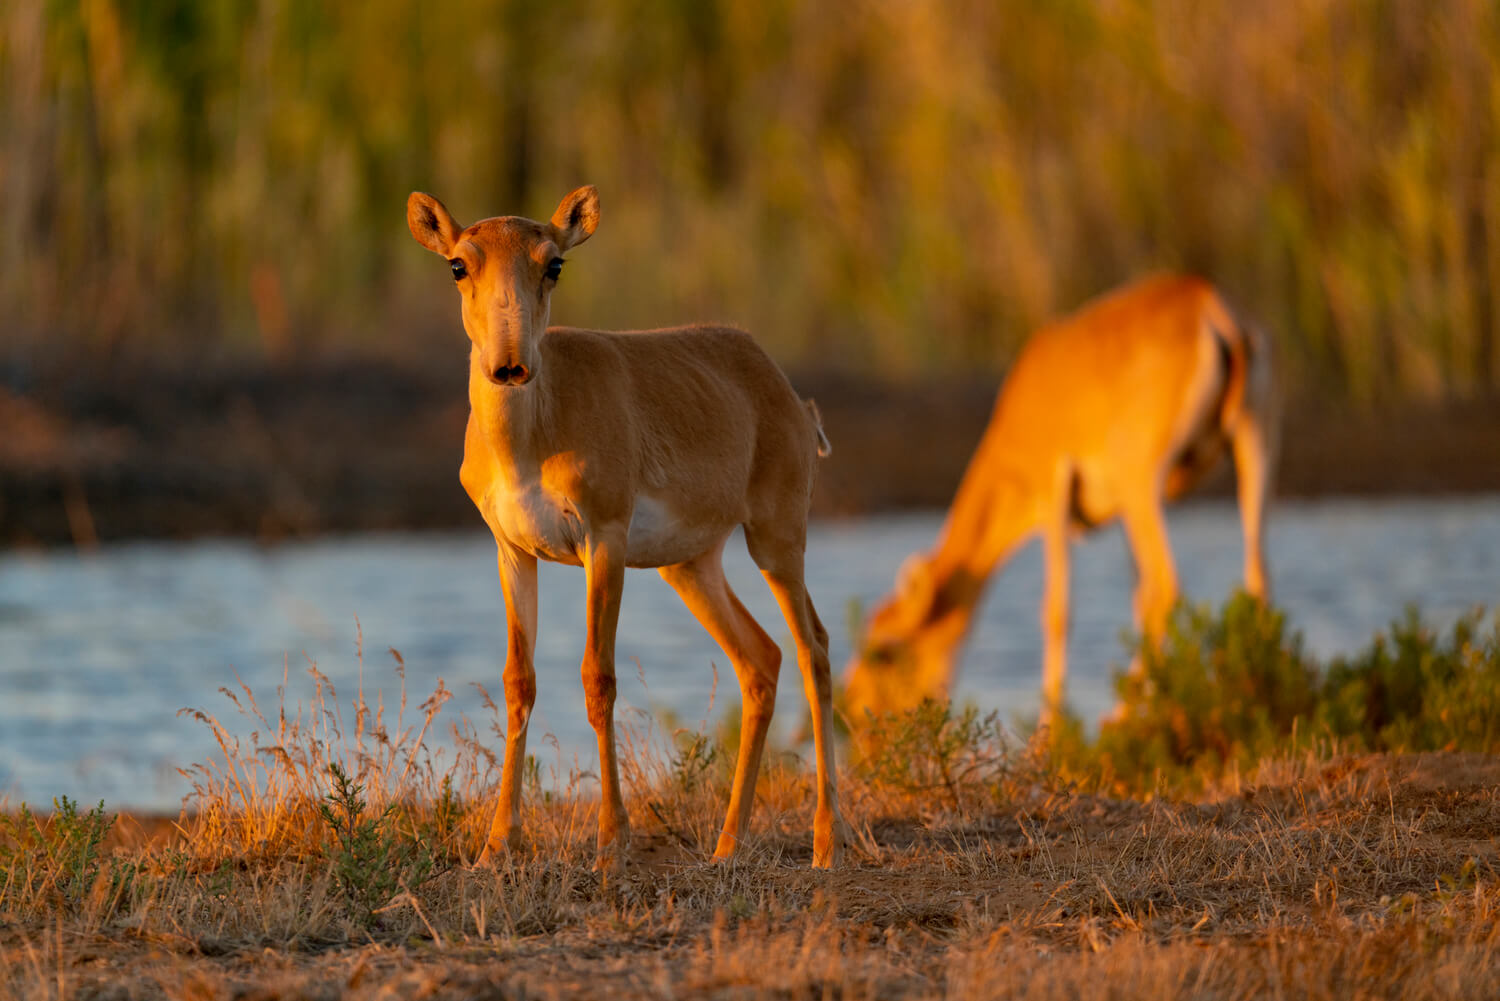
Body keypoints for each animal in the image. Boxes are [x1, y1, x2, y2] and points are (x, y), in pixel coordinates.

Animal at [405, 186, 846, 870]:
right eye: (458, 263)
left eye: (554, 263)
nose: (510, 367)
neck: (532, 434)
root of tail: (787, 392)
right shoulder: (512, 552)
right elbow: (518, 680)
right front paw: (495, 846)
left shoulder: (603, 540)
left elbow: (599, 679)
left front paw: (612, 842)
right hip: (689, 565)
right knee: (760, 658)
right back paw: (726, 845)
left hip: (776, 538)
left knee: (814, 649)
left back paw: (826, 842)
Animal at [846, 277, 1278, 732]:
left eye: (883, 652)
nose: (856, 719)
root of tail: (1209, 305)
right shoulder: (1117, 516)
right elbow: (1137, 601)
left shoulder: (1053, 490)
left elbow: (1056, 610)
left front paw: (1046, 734)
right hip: (1254, 449)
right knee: (1255, 576)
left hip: (1142, 485)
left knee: (1169, 584)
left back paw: (1121, 716)